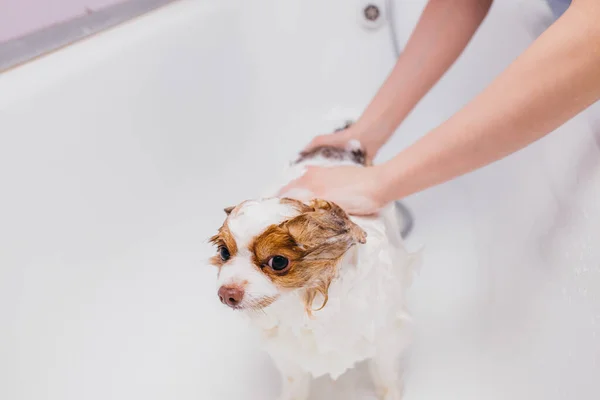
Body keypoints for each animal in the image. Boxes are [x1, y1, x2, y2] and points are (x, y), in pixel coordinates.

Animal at [209, 133, 420, 398]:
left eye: (278, 261)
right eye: (224, 252)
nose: (227, 294)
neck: (305, 304)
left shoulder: (386, 334)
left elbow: (385, 374)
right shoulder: (288, 355)